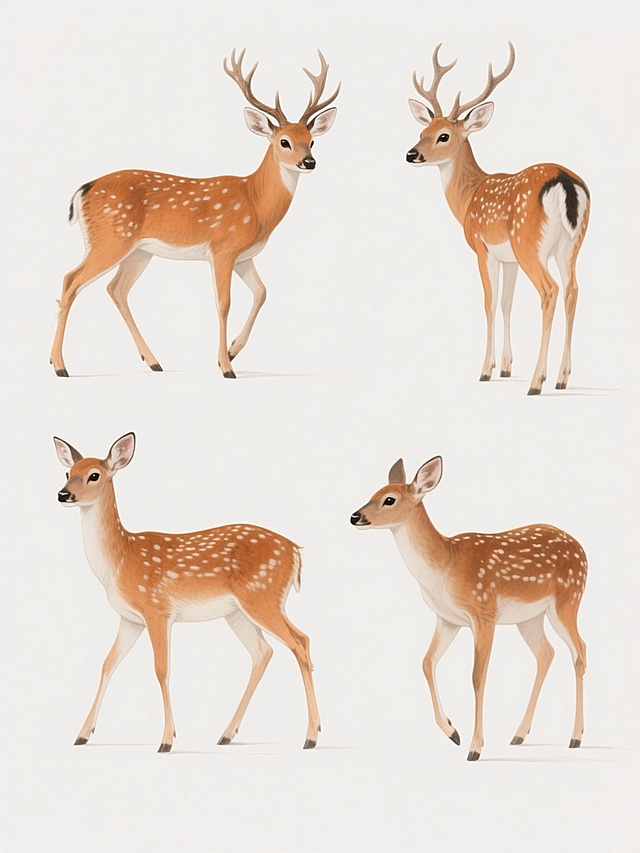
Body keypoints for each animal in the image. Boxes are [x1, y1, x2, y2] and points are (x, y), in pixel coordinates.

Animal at [50, 49, 339, 379]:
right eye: (284, 141)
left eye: (312, 140)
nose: (309, 162)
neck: (255, 203)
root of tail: (84, 190)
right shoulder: (223, 248)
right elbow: (224, 302)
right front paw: (226, 367)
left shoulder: (245, 256)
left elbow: (262, 292)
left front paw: (232, 351)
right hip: (110, 239)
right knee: (71, 280)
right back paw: (60, 366)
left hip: (138, 251)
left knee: (116, 289)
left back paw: (153, 361)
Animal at [54, 432, 321, 752]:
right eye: (68, 472)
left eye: (94, 475)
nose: (63, 494)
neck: (119, 561)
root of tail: (295, 552)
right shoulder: (130, 618)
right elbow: (108, 663)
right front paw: (82, 734)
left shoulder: (156, 609)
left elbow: (161, 669)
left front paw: (166, 740)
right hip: (238, 612)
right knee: (264, 651)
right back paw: (227, 734)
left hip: (262, 596)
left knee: (300, 641)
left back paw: (311, 736)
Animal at [351, 456, 587, 761]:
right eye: (373, 493)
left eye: (389, 499)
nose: (355, 516)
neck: (444, 566)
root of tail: (582, 549)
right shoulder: (447, 618)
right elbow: (427, 662)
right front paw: (453, 731)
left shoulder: (483, 612)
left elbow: (477, 676)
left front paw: (474, 748)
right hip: (530, 617)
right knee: (546, 653)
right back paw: (519, 734)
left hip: (568, 598)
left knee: (579, 650)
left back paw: (575, 737)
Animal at [406, 43, 590, 395]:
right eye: (423, 130)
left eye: (444, 136)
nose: (411, 154)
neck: (469, 196)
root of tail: (564, 181)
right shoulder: (509, 258)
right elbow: (507, 302)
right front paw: (505, 367)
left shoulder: (482, 247)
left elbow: (489, 302)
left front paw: (485, 370)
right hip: (571, 244)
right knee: (573, 289)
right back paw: (562, 378)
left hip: (528, 241)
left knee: (550, 290)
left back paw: (537, 382)